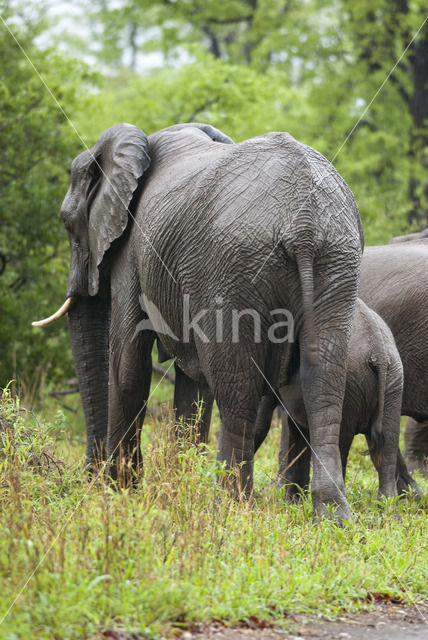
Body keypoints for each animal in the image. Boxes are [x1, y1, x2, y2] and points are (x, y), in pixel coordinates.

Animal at [32, 122, 364, 524]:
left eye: (68, 224)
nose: (89, 478)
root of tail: (303, 221)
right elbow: (192, 387)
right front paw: (176, 488)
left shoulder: (133, 252)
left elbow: (128, 367)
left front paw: (120, 496)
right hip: (337, 259)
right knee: (324, 380)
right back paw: (334, 516)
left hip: (234, 267)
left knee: (237, 387)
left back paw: (232, 509)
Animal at [252, 298, 420, 498]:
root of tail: (378, 353)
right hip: (393, 382)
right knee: (386, 448)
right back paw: (388, 505)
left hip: (350, 386)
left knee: (341, 445)